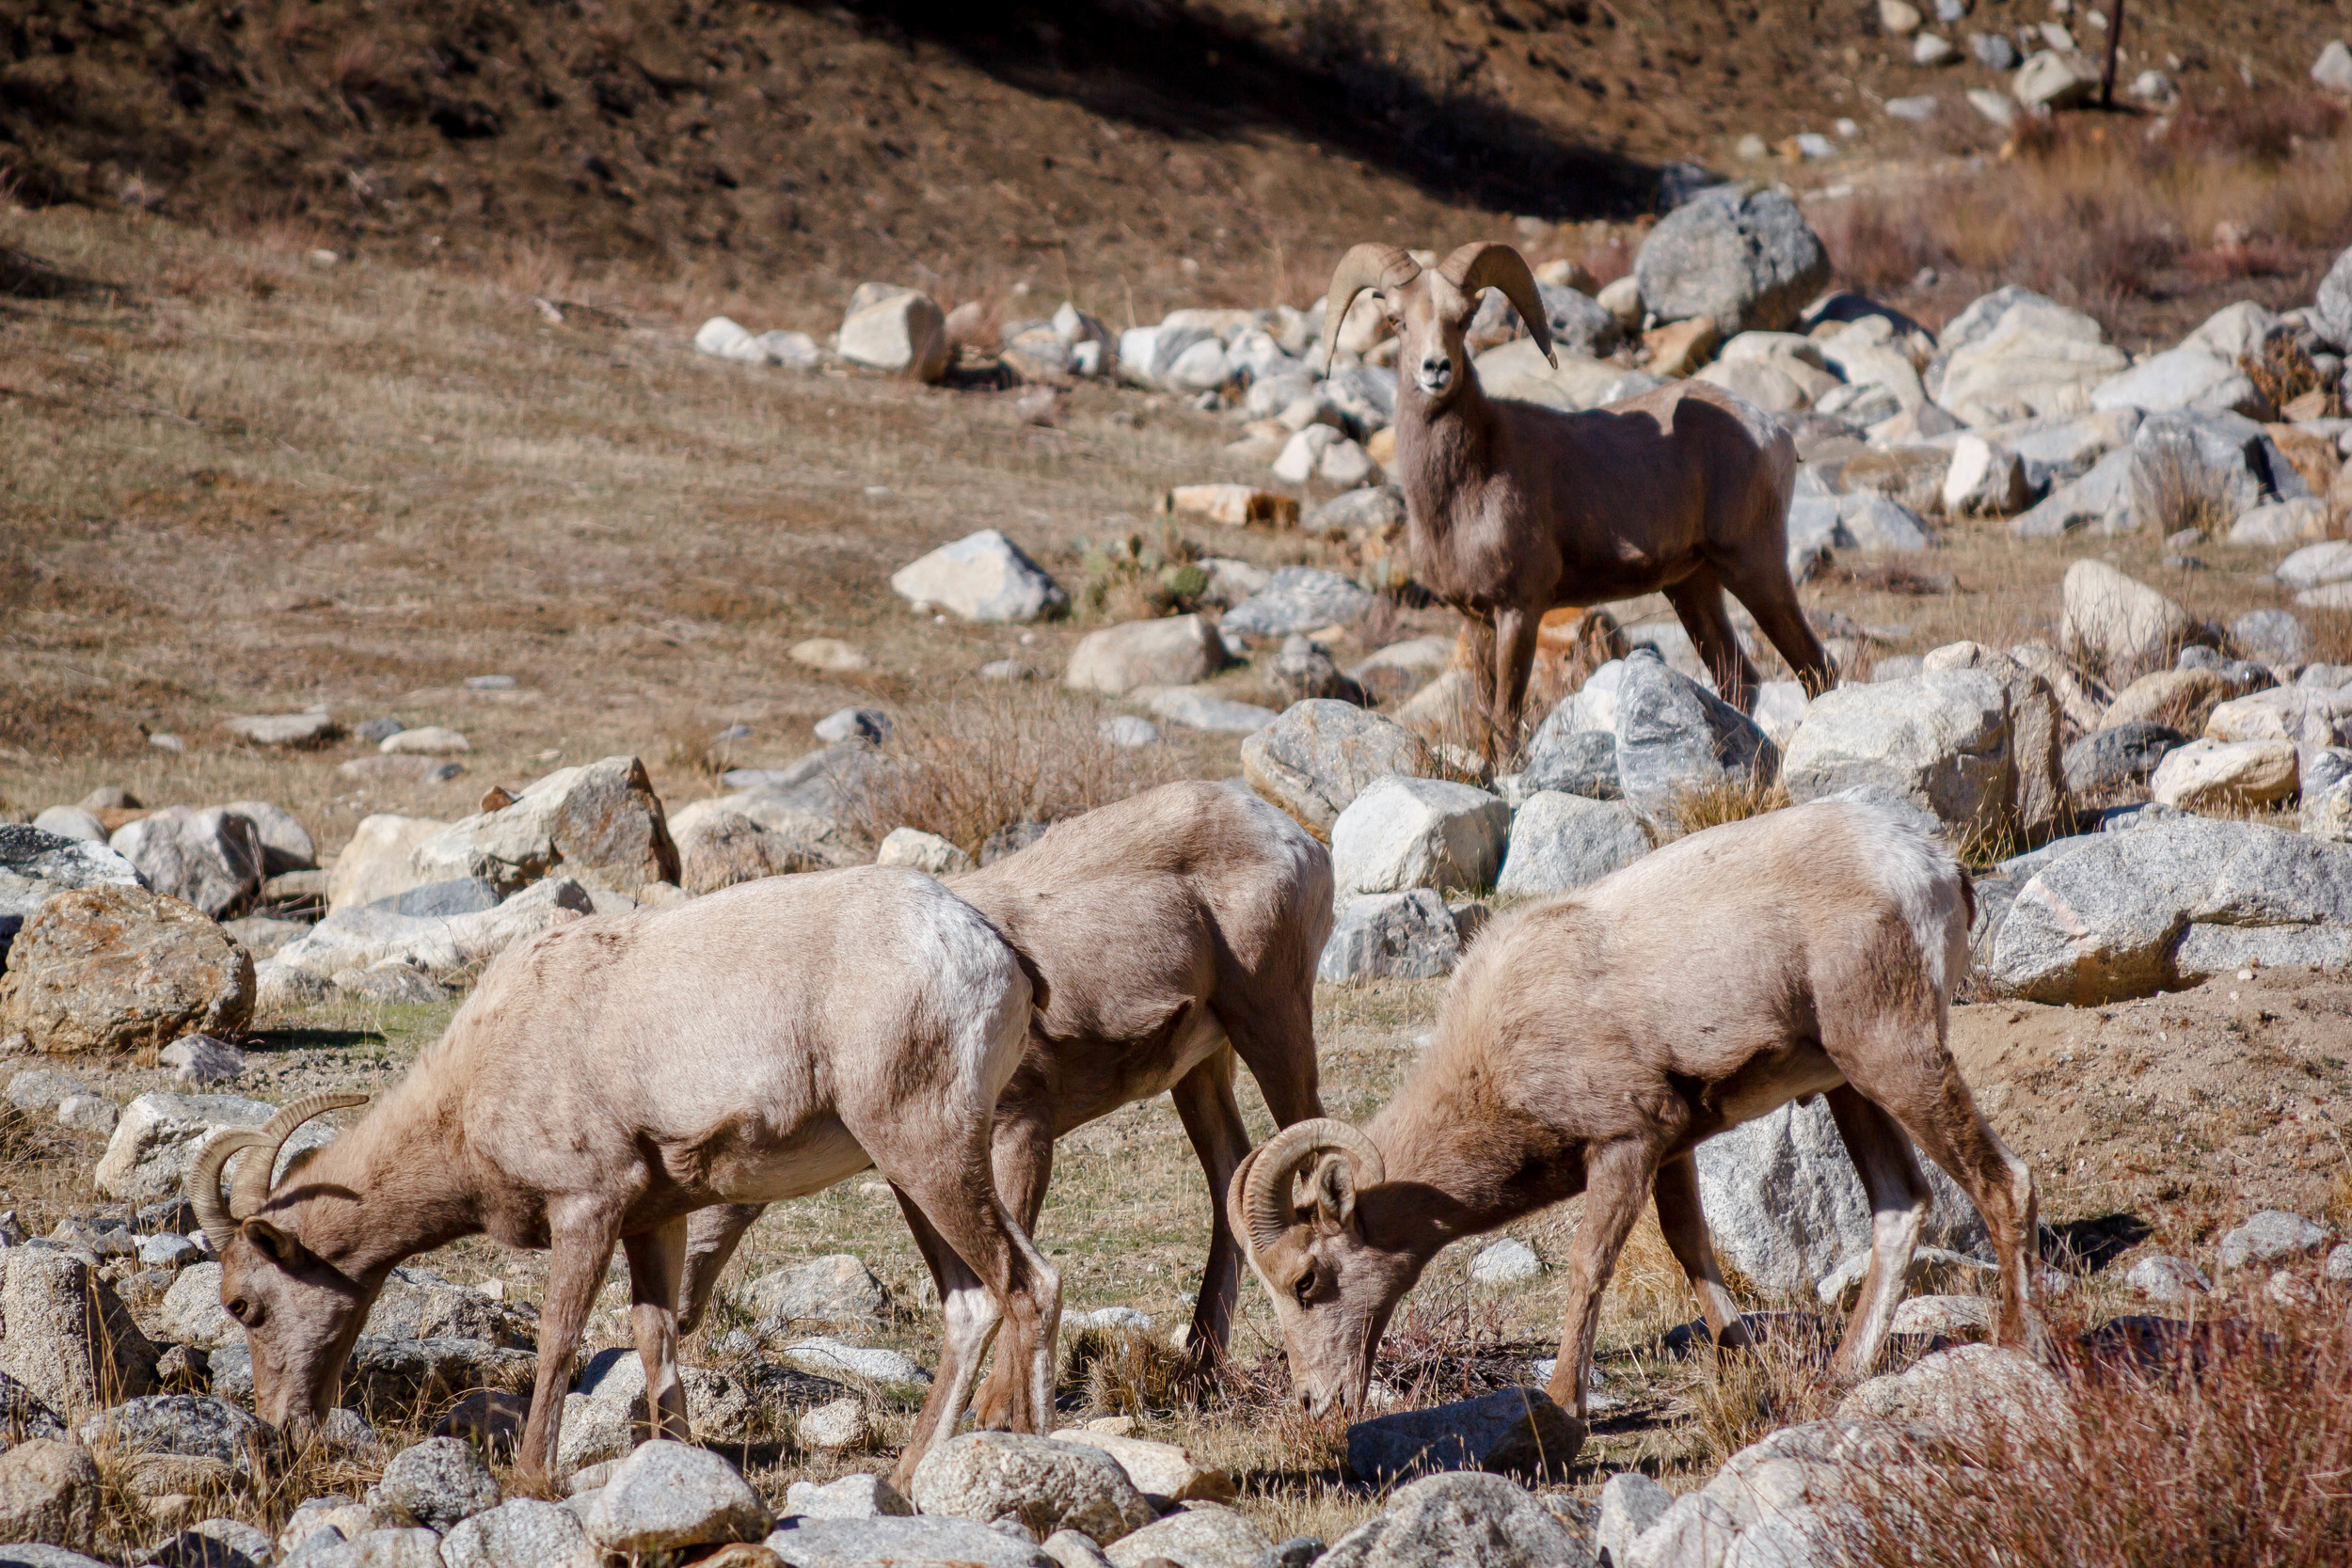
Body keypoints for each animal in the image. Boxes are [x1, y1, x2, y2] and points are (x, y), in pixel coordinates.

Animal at [188, 864, 1054, 1495]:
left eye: (243, 1304)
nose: (281, 1427)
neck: (476, 1080)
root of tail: (994, 952)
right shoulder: (653, 1219)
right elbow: (654, 1338)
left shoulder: (586, 1207)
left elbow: (558, 1337)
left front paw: (533, 1478)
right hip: (911, 1173)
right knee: (970, 1303)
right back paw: (905, 1480)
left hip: (926, 1151)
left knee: (1029, 1284)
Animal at [682, 780, 1336, 1419]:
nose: (683, 1313)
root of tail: (1300, 842)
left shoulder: (1022, 1125)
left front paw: (996, 1413)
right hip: (1201, 1065)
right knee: (1233, 1177)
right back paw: (1197, 1373)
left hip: (1272, 1016)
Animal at [1232, 803, 2042, 1429]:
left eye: (1306, 1280)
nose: (1315, 1403)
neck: (1497, 1049)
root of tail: (1934, 866)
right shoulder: (1673, 1144)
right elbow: (1689, 1244)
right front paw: (1744, 1360)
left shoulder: (1625, 1142)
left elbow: (1590, 1263)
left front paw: (1564, 1401)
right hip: (1853, 1084)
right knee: (1900, 1205)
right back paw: (1842, 1372)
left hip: (1897, 1060)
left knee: (2006, 1183)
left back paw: (2016, 1348)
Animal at [1327, 242, 1835, 756]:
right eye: (1397, 320)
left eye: (1464, 319)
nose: (1435, 369)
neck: (1465, 488)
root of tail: (1772, 434)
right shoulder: (1478, 621)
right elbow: (1487, 715)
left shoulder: (1520, 612)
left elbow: (1506, 721)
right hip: (1693, 587)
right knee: (1738, 679)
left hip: (1754, 567)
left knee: (1817, 667)